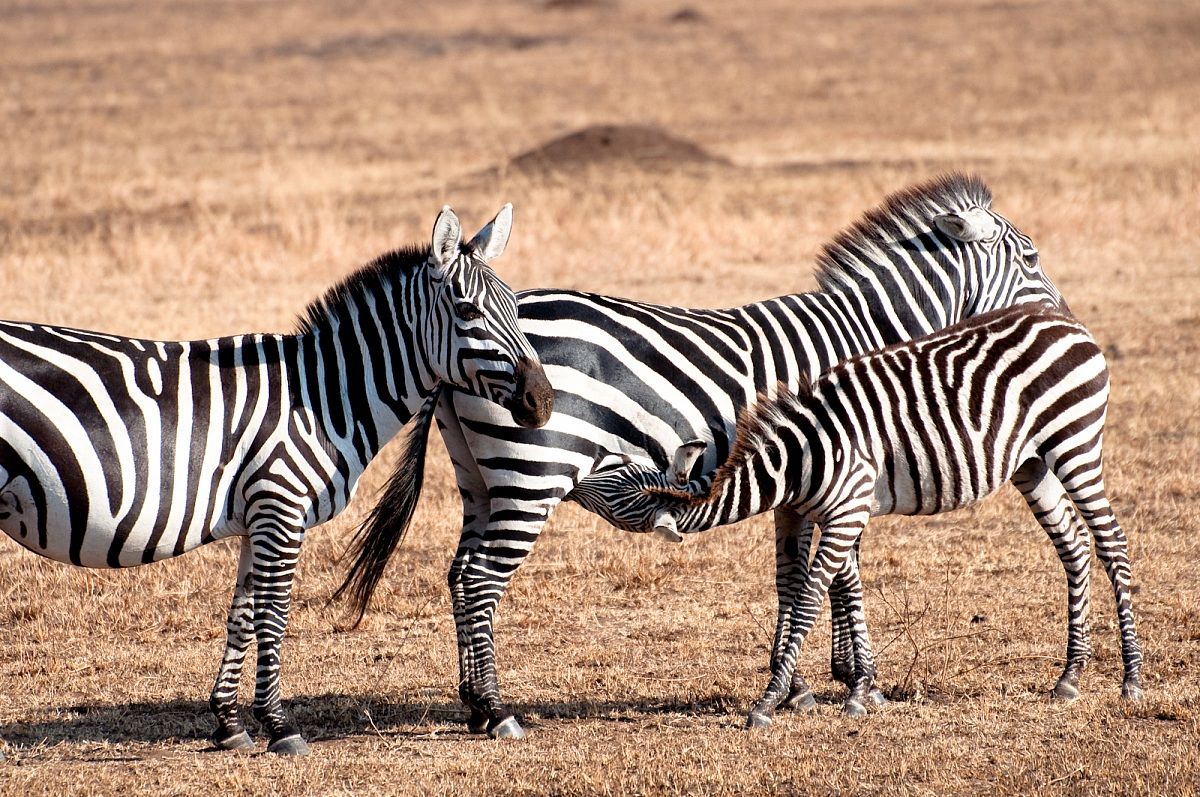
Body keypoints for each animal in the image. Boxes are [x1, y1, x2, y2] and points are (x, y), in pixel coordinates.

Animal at [0, 205, 552, 756]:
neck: (322, 396)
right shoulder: (281, 506)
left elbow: (242, 614)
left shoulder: (257, 516)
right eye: (467, 310)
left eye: (515, 307)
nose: (542, 402)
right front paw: (281, 727)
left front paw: (230, 724)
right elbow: (274, 614)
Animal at [338, 174, 1069, 739]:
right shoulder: (847, 461)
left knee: (460, 572)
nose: (1069, 326)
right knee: (482, 577)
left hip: (480, 478)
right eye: (1033, 257)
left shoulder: (810, 474)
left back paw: (471, 704)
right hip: (532, 473)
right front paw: (859, 680)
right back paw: (497, 712)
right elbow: (844, 573)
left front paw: (804, 683)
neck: (866, 335)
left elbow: (797, 573)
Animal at [573, 304, 1144, 727]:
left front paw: (771, 701)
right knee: (1073, 545)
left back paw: (1131, 679)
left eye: (615, 480)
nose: (574, 471)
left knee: (1111, 542)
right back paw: (1069, 676)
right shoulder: (799, 514)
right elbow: (802, 585)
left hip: (1074, 443)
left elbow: (810, 597)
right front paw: (846, 688)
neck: (795, 460)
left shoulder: (846, 509)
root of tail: (1066, 323)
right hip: (1031, 462)